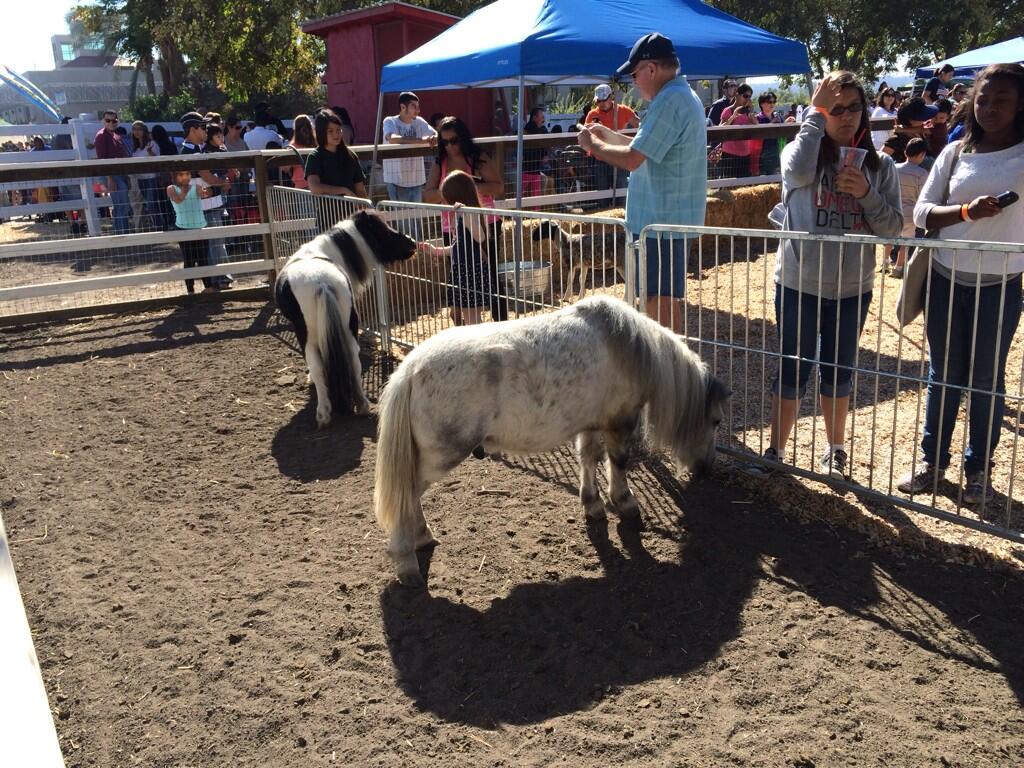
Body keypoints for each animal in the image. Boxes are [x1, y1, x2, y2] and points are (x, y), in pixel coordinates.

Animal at [274, 210, 417, 428]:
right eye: (382, 230)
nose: (412, 243)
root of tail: (321, 283)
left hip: (306, 335)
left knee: (317, 366)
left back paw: (323, 414)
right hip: (349, 328)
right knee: (353, 358)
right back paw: (362, 405)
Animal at [374, 296, 729, 585]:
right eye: (716, 420)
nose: (706, 469)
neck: (629, 348)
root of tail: (409, 370)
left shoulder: (590, 423)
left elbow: (588, 458)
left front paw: (593, 504)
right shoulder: (619, 422)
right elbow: (618, 463)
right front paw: (624, 503)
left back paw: (423, 536)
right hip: (440, 455)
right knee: (405, 496)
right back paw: (407, 562)